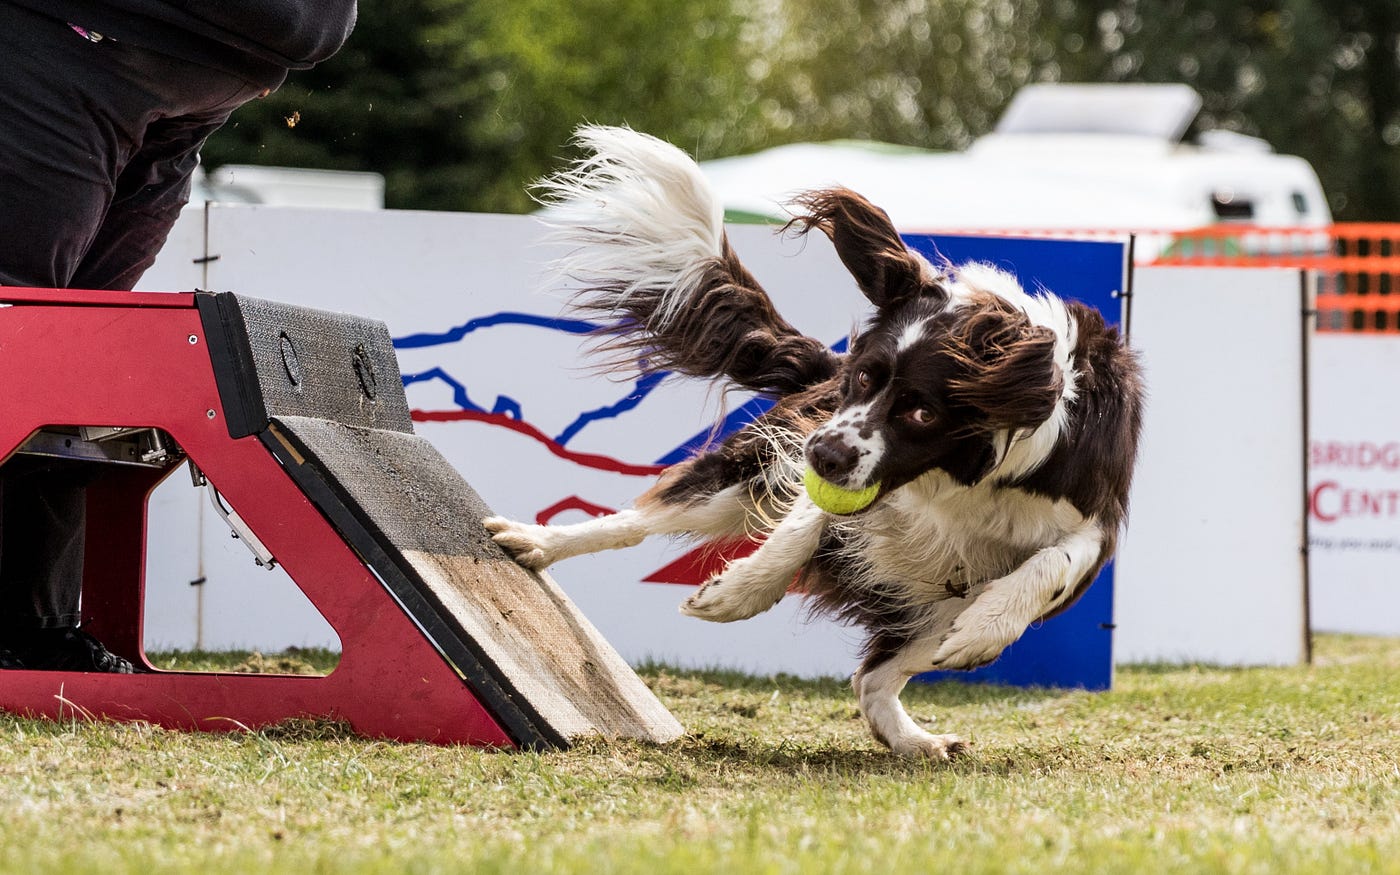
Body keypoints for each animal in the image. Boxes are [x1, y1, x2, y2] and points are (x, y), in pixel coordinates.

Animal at [487, 124, 1142, 756]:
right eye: (865, 377)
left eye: (923, 412)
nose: (823, 457)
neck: (958, 475)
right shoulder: (831, 465)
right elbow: (801, 527)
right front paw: (740, 592)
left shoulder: (1094, 519)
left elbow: (1054, 563)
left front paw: (986, 630)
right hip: (749, 473)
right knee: (636, 521)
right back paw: (536, 543)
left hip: (939, 594)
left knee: (875, 677)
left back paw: (916, 740)